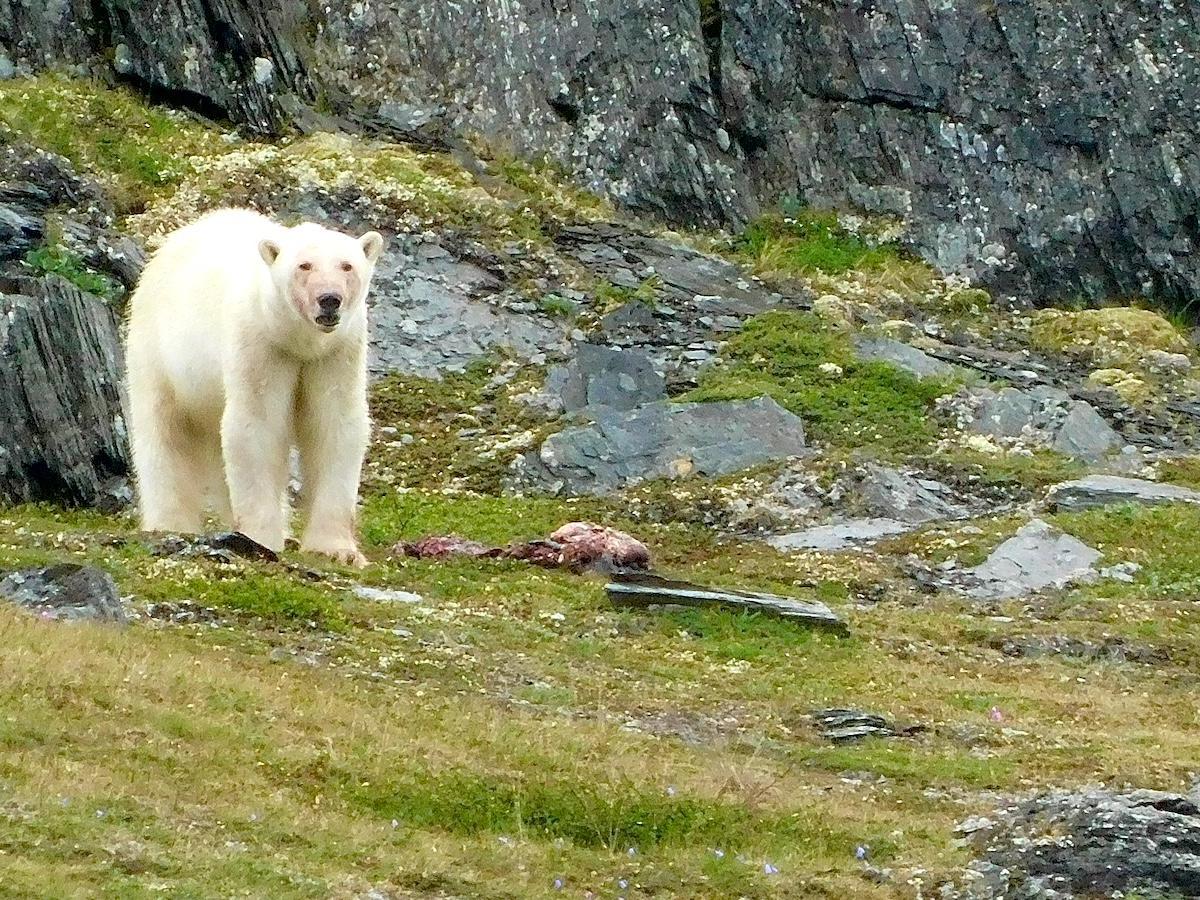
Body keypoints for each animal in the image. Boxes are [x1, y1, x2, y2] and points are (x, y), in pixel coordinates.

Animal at [124, 208, 385, 567]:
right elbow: (257, 426)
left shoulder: (336, 353)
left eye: (347, 266)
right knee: (164, 433)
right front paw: (262, 538)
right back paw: (170, 523)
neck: (298, 342)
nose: (329, 300)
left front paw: (337, 550)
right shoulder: (260, 343)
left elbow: (334, 425)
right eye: (304, 266)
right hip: (158, 352)